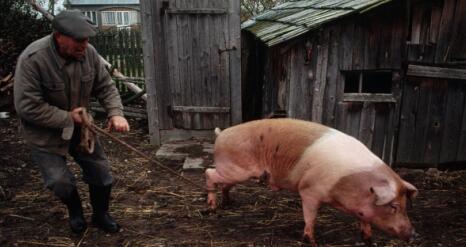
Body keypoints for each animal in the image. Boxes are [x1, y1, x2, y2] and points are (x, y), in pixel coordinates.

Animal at [206, 118, 416, 246]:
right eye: (394, 206)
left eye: (406, 205)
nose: (414, 235)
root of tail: (221, 133)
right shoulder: (309, 190)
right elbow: (310, 217)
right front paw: (312, 241)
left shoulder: (361, 208)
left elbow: (365, 220)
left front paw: (368, 240)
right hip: (234, 170)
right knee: (209, 173)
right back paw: (212, 208)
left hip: (236, 173)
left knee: (224, 184)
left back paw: (229, 203)